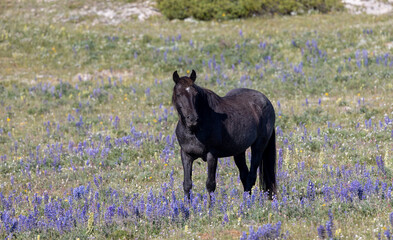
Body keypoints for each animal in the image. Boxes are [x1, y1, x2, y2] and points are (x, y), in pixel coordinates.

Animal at [172, 69, 276, 199]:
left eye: (195, 94)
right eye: (179, 94)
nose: (193, 119)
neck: (194, 131)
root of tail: (266, 101)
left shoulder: (212, 155)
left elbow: (210, 185)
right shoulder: (186, 155)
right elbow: (187, 184)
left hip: (258, 147)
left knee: (251, 176)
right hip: (239, 151)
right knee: (245, 175)